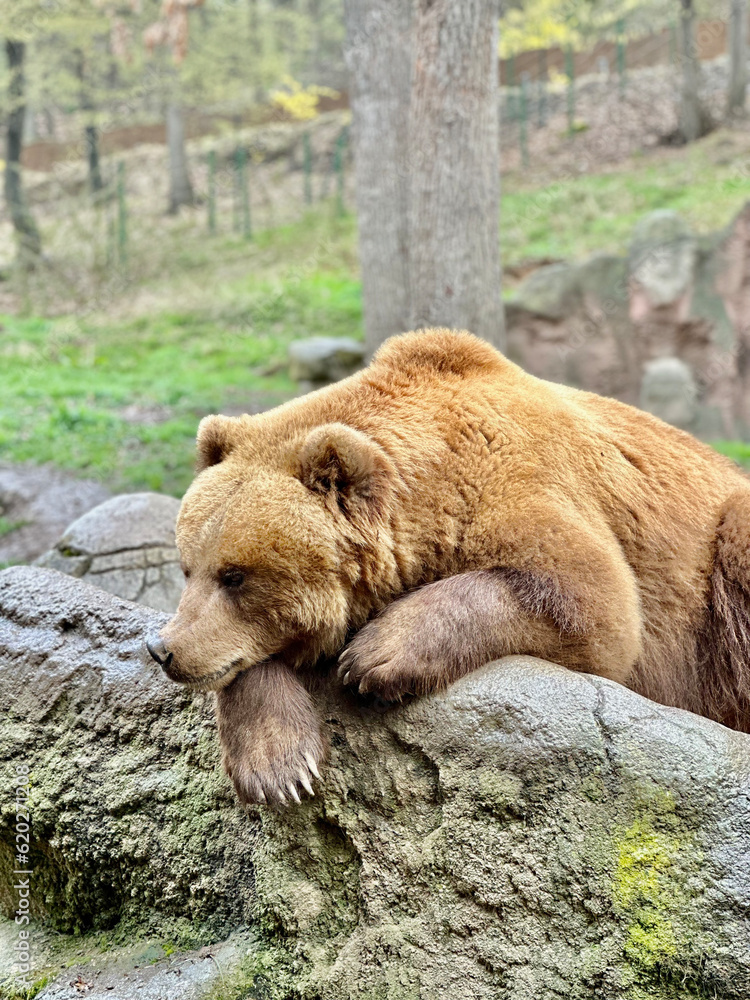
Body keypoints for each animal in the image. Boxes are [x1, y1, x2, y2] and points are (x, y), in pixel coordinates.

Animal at [146, 328, 750, 806]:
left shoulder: (526, 486)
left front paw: (374, 656)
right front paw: (279, 764)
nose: (163, 650)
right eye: (188, 567)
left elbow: (592, 605)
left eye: (235, 576)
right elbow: (245, 665)